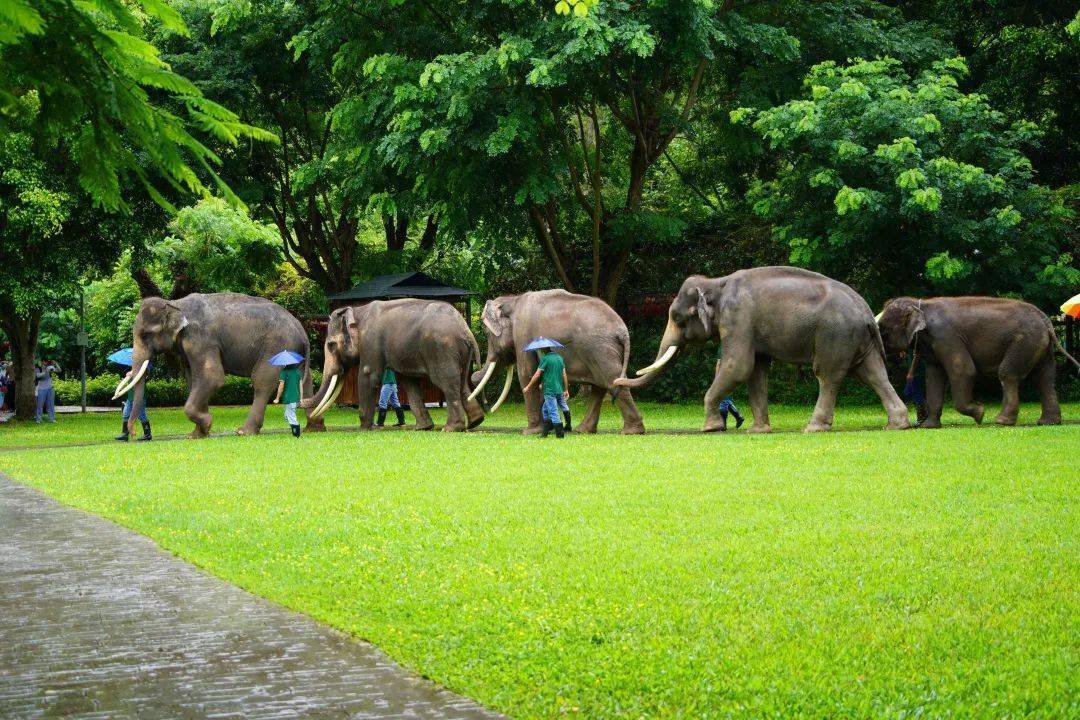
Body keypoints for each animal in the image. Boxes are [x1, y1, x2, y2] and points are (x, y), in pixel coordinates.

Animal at [113, 293, 315, 440]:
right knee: (304, 381)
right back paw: (313, 428)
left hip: (277, 347)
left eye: (146, 334)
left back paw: (244, 431)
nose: (133, 433)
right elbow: (194, 380)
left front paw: (207, 423)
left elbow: (212, 377)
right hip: (293, 352)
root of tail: (301, 330)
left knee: (262, 381)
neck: (175, 304)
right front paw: (196, 434)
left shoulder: (200, 339)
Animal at [466, 289, 639, 433]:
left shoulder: (522, 333)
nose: (473, 374)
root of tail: (623, 330)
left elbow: (527, 374)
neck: (513, 300)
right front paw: (545, 428)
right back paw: (583, 430)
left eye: (487, 334)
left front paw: (530, 432)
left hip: (600, 350)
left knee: (612, 381)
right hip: (601, 351)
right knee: (601, 386)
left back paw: (631, 431)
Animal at [617, 266, 911, 431]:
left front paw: (710, 429)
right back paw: (897, 425)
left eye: (678, 318)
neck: (716, 282)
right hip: (858, 340)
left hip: (835, 335)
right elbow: (755, 371)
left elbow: (738, 366)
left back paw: (814, 428)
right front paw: (758, 431)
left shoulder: (738, 317)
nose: (618, 380)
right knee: (874, 374)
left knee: (828, 376)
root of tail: (866, 311)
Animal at [876, 293, 1080, 425]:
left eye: (884, 332)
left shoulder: (946, 336)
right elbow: (934, 378)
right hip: (1040, 344)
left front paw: (980, 414)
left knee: (1009, 374)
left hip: (1025, 341)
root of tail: (1045, 318)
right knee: (1044, 379)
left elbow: (963, 370)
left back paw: (1001, 421)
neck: (921, 305)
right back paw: (1048, 422)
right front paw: (929, 426)